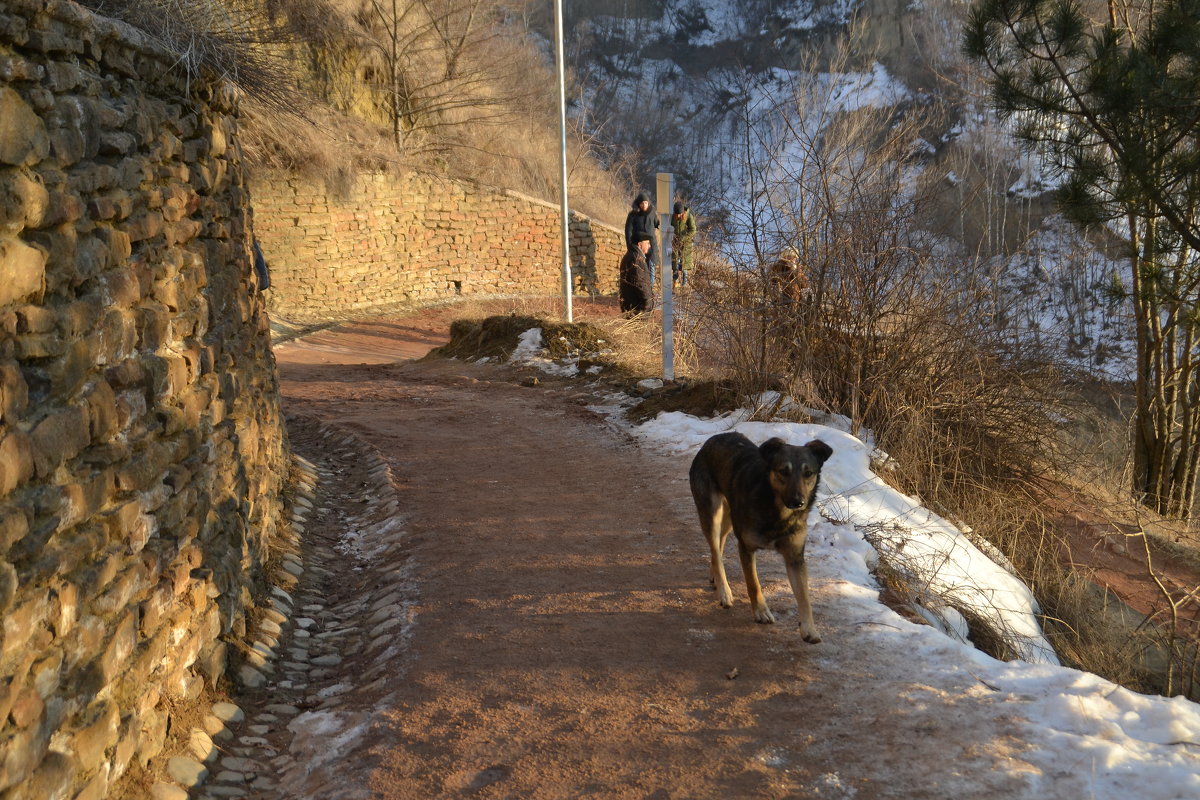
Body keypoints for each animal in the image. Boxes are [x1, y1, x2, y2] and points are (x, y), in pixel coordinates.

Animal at [691, 431, 830, 642]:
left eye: (809, 473)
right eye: (783, 471)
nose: (798, 502)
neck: (776, 510)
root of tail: (713, 439)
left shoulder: (795, 557)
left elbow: (804, 597)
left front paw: (809, 629)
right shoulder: (746, 547)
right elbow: (753, 584)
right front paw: (761, 612)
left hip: (729, 518)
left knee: (719, 545)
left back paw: (714, 575)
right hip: (711, 512)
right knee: (715, 548)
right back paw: (724, 591)